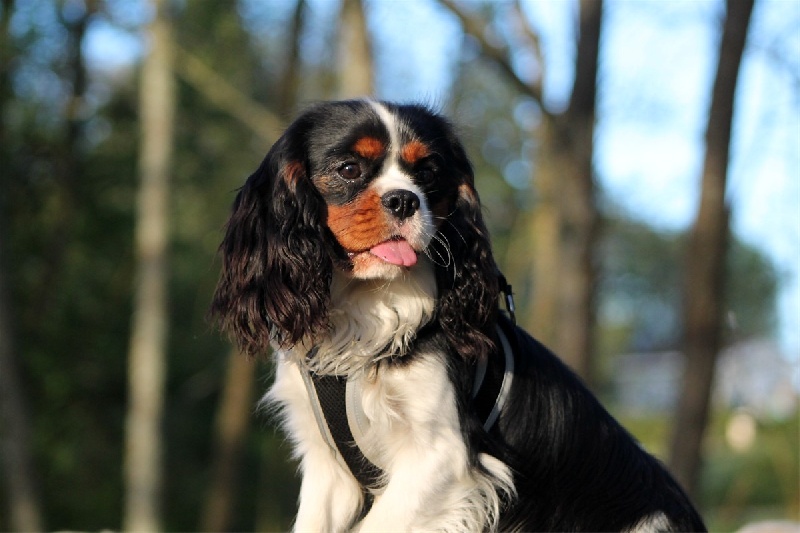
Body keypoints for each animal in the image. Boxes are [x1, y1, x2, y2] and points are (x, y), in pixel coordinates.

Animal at [212, 101, 708, 532]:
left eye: (428, 173)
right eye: (350, 169)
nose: (405, 200)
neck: (362, 311)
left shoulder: (442, 459)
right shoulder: (328, 471)